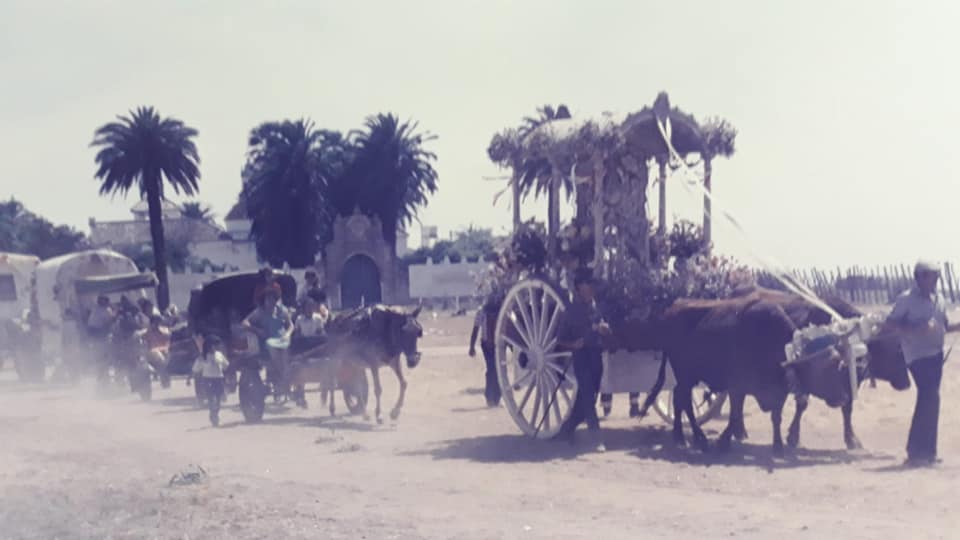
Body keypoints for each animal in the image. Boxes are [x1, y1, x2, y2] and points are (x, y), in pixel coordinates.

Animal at [290, 305, 424, 423]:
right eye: (403, 331)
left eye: (417, 332)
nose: (413, 361)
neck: (384, 329)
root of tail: (334, 322)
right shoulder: (374, 364)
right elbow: (378, 389)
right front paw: (379, 415)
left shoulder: (394, 361)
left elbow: (404, 383)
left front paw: (395, 412)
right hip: (336, 359)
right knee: (332, 383)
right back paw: (332, 409)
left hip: (352, 363)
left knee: (356, 386)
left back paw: (364, 413)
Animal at [610, 292, 850, 456]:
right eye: (826, 371)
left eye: (838, 365)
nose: (844, 398)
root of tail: (673, 308)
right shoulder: (737, 387)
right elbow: (735, 416)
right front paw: (724, 441)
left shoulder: (778, 389)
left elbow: (775, 417)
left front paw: (778, 445)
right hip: (685, 373)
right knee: (684, 401)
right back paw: (697, 438)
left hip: (686, 376)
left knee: (678, 399)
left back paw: (680, 436)